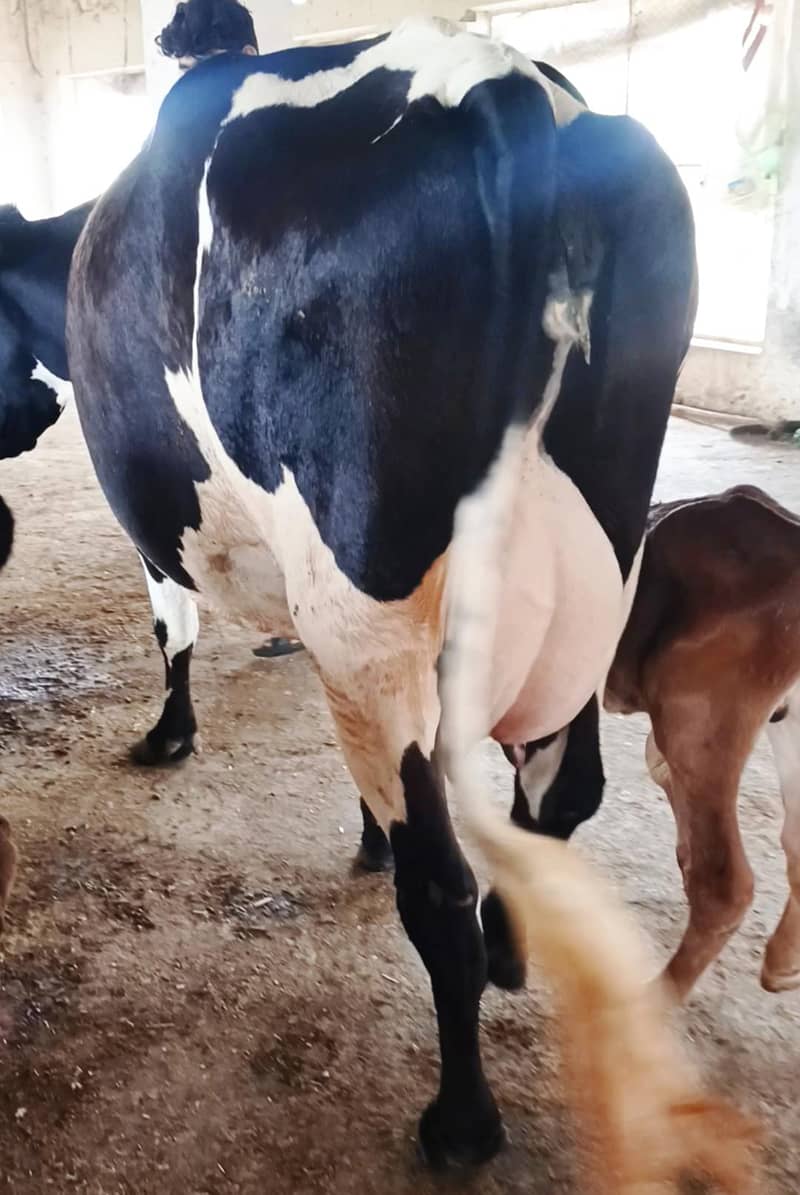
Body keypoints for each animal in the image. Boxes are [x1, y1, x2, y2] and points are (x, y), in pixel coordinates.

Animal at [63, 19, 761, 1189]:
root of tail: (484, 79)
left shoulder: (172, 544)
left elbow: (174, 626)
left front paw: (169, 735)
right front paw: (363, 827)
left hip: (373, 600)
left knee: (441, 881)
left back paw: (461, 1117)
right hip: (598, 571)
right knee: (553, 795)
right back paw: (512, 946)